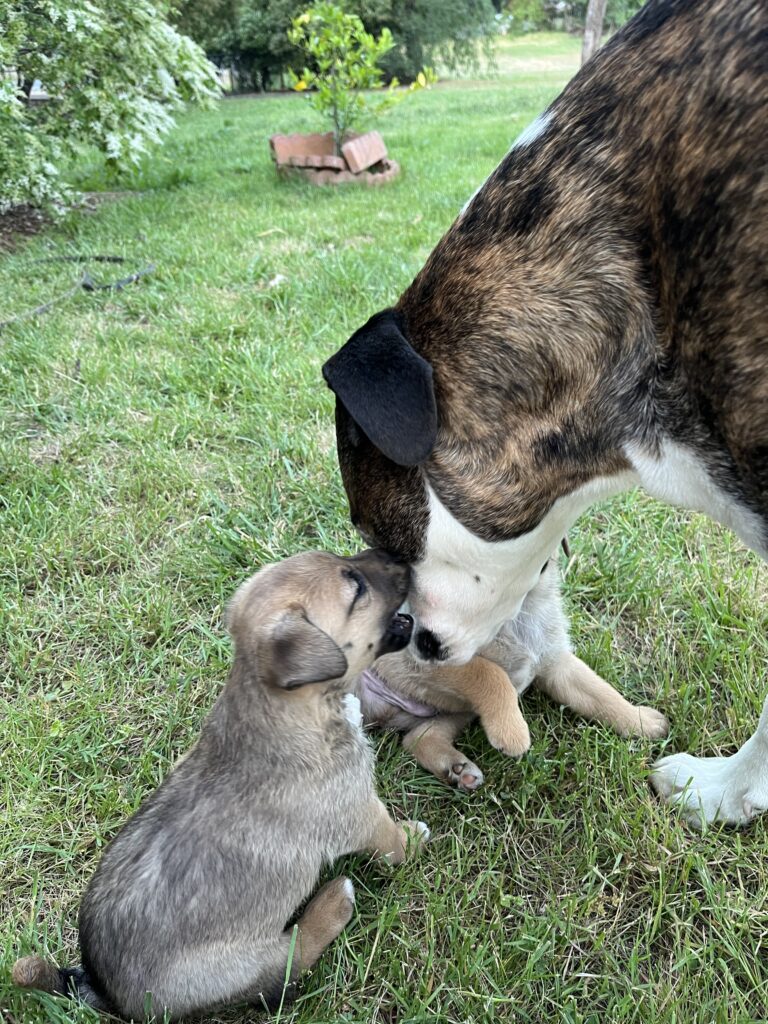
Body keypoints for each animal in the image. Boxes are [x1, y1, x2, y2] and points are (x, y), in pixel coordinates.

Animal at [12, 552, 430, 1024]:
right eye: (357, 587)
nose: (403, 558)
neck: (283, 707)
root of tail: (102, 991)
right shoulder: (359, 810)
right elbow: (391, 841)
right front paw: (412, 839)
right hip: (243, 962)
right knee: (291, 959)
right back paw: (333, 902)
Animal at [360, 557, 667, 786]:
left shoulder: (557, 664)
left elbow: (602, 694)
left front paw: (640, 721)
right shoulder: (423, 658)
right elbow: (490, 672)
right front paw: (513, 732)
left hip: (457, 713)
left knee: (417, 738)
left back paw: (458, 770)